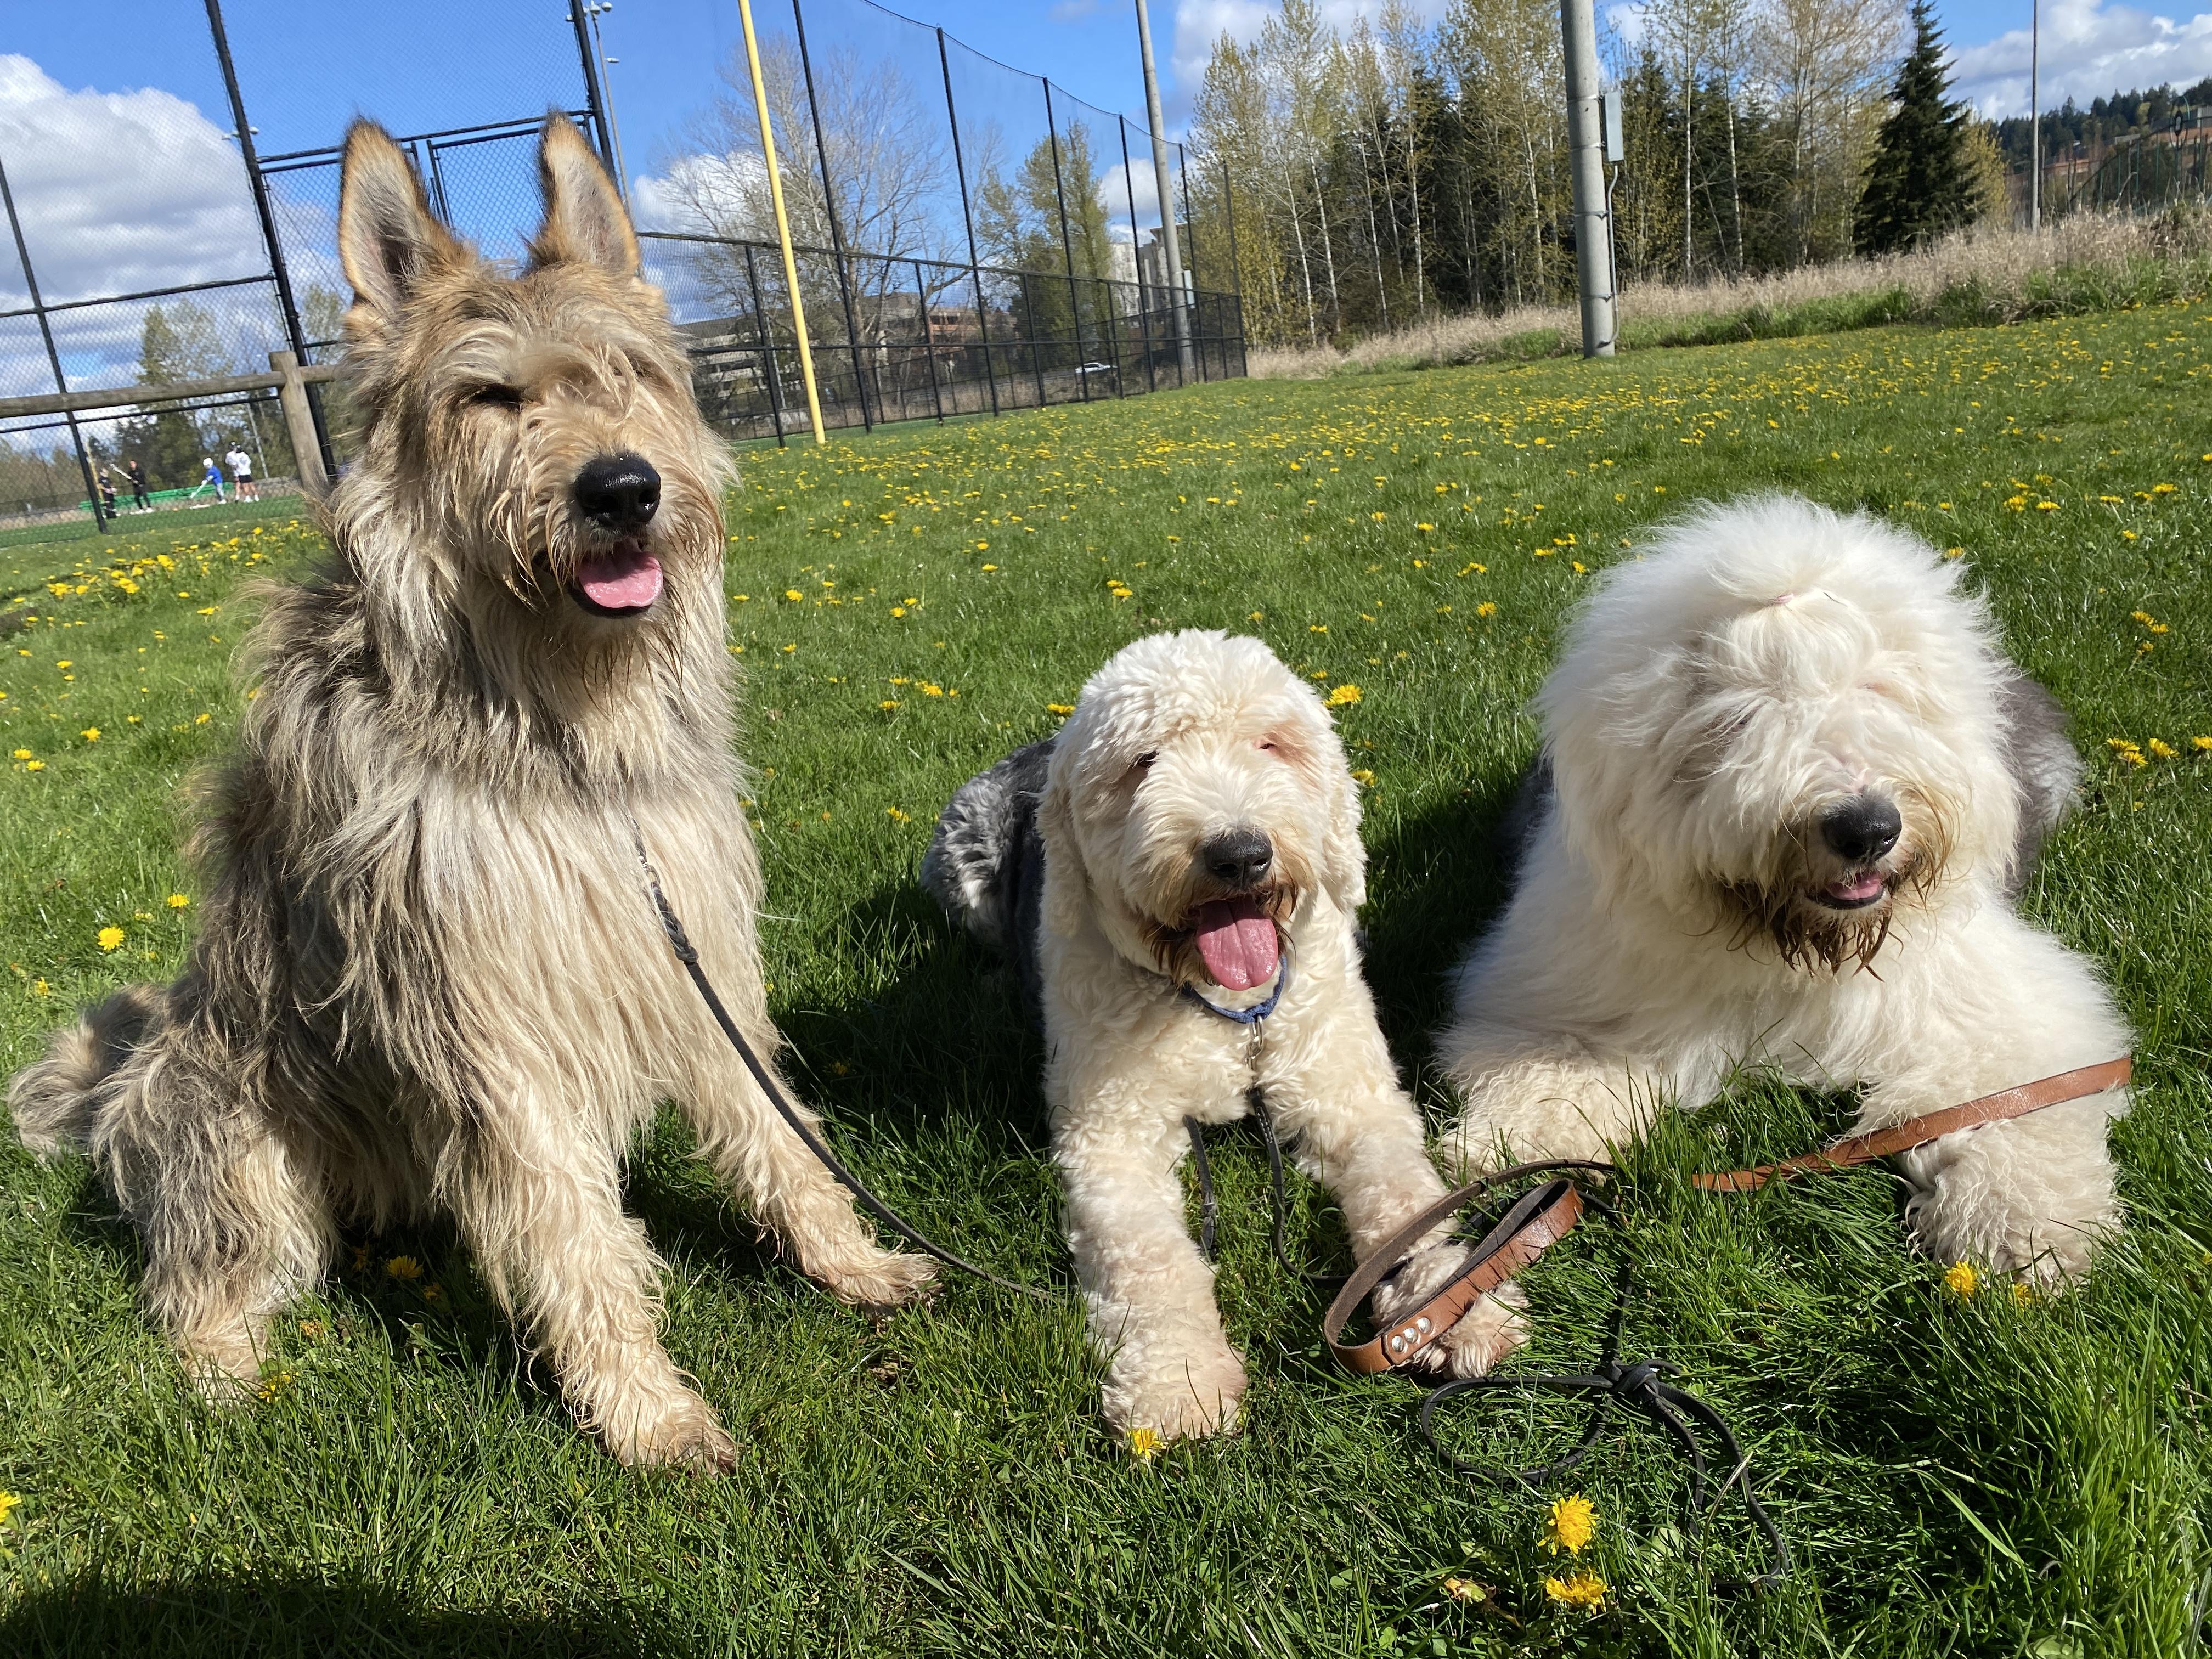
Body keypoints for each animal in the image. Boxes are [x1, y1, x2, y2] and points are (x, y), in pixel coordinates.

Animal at [7, 118, 931, 1468]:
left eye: (626, 376)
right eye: (490, 397)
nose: (622, 489)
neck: (554, 723)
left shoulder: (689, 940)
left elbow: (779, 1133)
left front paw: (850, 1263)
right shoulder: (488, 1020)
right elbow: (568, 1229)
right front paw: (645, 1412)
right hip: (235, 1137)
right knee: (198, 1286)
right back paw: (231, 1378)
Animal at [925, 631, 1523, 1441]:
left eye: (1271, 744)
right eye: (1143, 761)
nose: (1239, 854)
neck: (1225, 1010)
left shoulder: (1350, 1093)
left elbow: (1406, 1200)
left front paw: (1453, 1306)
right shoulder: (1111, 1136)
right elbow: (1150, 1259)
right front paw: (1175, 1382)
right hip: (963, 859)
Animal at [1439, 495, 2130, 1282]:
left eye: (1881, 690)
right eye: (1740, 713)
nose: (1867, 827)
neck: (1792, 950)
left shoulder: (1995, 1009)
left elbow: (2009, 1100)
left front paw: (2023, 1231)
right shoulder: (1564, 997)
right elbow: (1548, 1072)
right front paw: (1509, 1147)